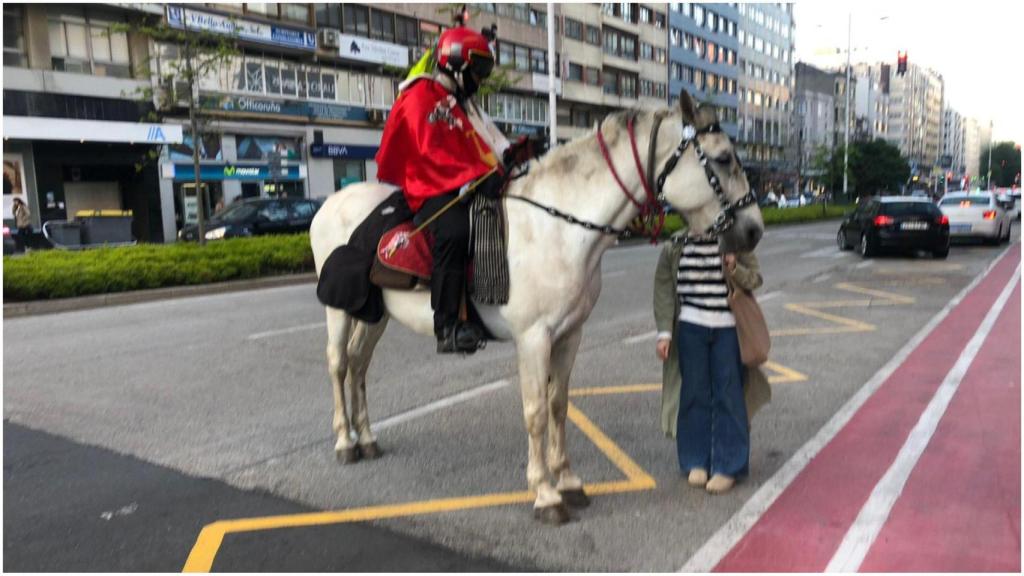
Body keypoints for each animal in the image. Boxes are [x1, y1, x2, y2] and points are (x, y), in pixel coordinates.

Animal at [305, 91, 761, 522]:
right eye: (723, 159)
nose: (754, 230)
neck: (559, 227)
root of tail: (330, 203)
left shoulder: (570, 334)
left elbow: (559, 405)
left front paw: (569, 480)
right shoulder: (533, 338)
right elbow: (537, 412)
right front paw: (545, 493)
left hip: (375, 314)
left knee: (359, 364)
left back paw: (366, 437)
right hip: (338, 309)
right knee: (338, 363)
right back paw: (345, 440)